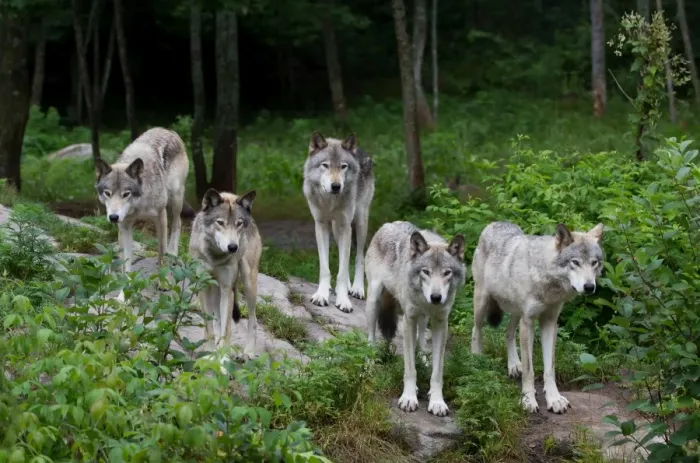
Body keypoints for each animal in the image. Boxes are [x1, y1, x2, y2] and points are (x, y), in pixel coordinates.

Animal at [95, 128, 189, 294]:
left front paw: (164, 282)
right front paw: (124, 289)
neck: (138, 206)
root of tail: (168, 130)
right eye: (107, 193)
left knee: (178, 224)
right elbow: (126, 261)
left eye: (126, 194)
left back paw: (173, 254)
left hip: (176, 199)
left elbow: (161, 252)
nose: (113, 217)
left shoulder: (161, 216)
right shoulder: (125, 226)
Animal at [188, 189, 262, 358]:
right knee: (217, 319)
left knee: (253, 321)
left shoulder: (227, 289)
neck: (214, 256)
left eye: (238, 224)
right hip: (215, 289)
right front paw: (209, 351)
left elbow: (226, 329)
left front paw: (223, 357)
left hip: (248, 283)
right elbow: (209, 326)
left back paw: (248, 352)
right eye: (220, 222)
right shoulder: (202, 286)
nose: (233, 247)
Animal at [303, 132, 375, 313]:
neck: (330, 201)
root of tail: (360, 150)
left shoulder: (345, 226)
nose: (336, 186)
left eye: (343, 166)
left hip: (360, 222)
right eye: (325, 165)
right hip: (336, 229)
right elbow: (326, 267)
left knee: (359, 256)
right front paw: (322, 295)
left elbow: (342, 270)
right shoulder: (321, 225)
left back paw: (357, 289)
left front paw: (343, 300)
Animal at [365, 221, 466, 416]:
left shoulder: (441, 323)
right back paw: (370, 361)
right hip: (374, 299)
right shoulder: (408, 320)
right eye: (425, 271)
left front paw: (437, 401)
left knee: (421, 342)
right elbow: (410, 369)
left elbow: (437, 372)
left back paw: (424, 360)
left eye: (447, 273)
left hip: (424, 318)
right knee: (370, 337)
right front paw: (409, 398)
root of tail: (389, 224)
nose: (436, 297)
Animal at [470, 221, 604, 414]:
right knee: (476, 330)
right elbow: (529, 370)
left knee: (508, 333)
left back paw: (513, 365)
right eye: (575, 262)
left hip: (516, 312)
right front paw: (528, 400)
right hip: (483, 303)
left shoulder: (549, 322)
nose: (589, 287)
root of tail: (496, 223)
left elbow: (550, 368)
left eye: (594, 263)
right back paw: (476, 360)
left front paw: (554, 399)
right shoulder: (528, 321)